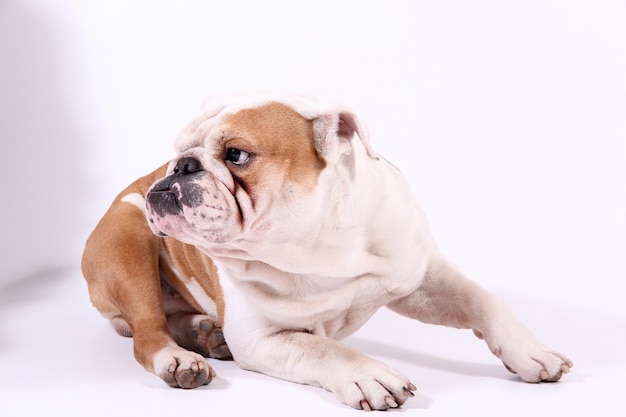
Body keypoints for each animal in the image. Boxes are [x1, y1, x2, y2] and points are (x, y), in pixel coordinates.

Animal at [83, 92, 572, 410]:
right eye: (179, 150)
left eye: (236, 154)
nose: (180, 166)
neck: (314, 243)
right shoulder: (263, 338)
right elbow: (321, 349)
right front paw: (367, 373)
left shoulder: (420, 276)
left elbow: (483, 300)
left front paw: (532, 352)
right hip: (129, 243)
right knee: (148, 333)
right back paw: (180, 358)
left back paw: (205, 333)